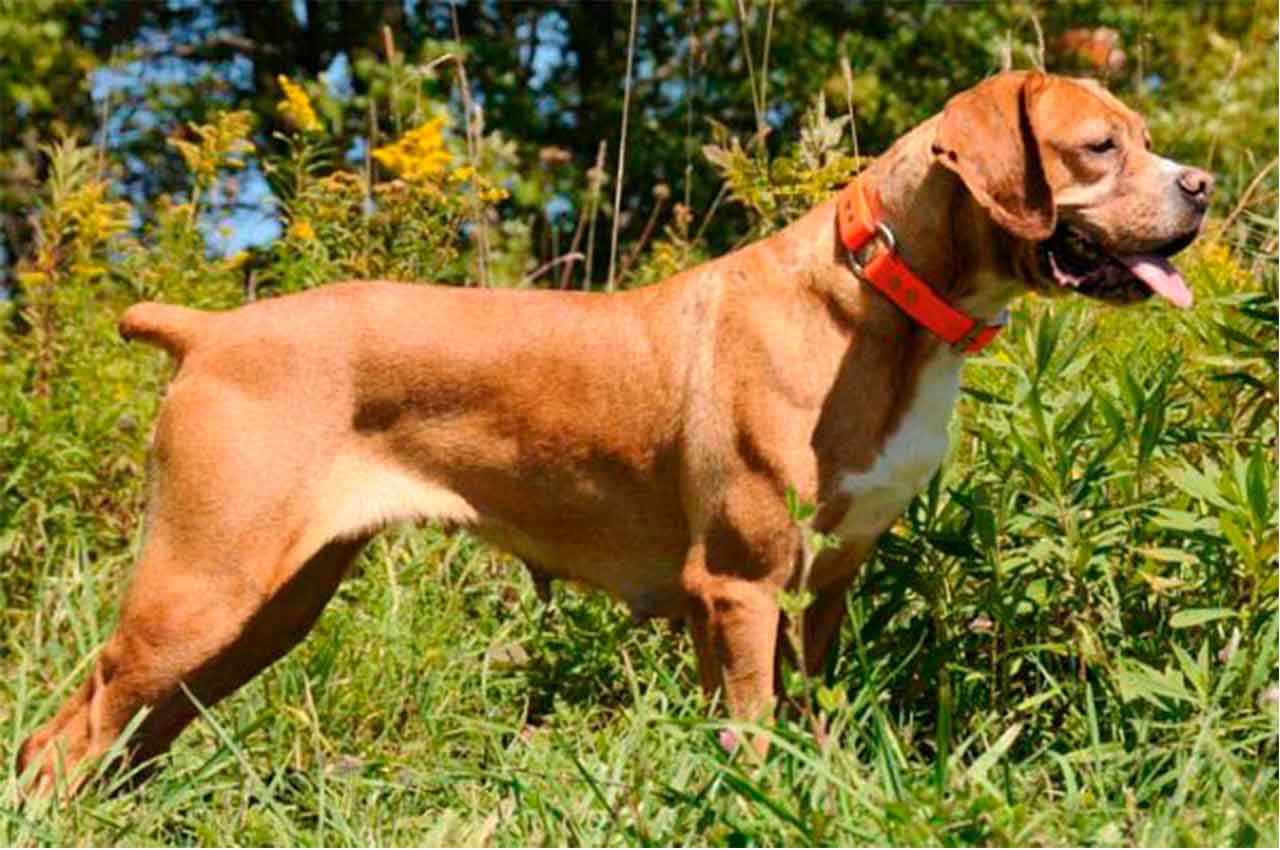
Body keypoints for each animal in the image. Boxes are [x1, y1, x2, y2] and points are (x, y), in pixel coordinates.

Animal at [17, 72, 1208, 788]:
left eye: (1147, 142)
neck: (887, 302)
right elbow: (752, 734)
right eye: (1098, 147)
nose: (1199, 184)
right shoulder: (739, 586)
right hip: (201, 585)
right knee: (57, 737)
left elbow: (806, 715)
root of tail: (206, 330)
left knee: (124, 732)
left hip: (269, 605)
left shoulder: (817, 589)